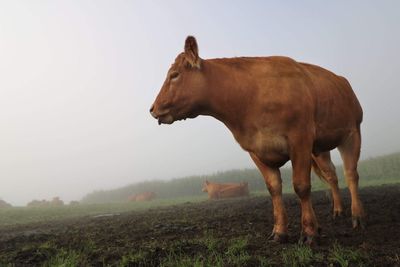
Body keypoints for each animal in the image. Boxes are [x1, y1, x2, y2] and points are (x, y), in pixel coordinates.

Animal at [150, 36, 366, 246]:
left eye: (174, 75)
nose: (152, 109)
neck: (251, 97)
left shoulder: (300, 139)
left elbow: (301, 186)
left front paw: (310, 232)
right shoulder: (256, 150)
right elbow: (274, 189)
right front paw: (279, 232)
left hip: (352, 134)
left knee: (351, 174)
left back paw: (357, 216)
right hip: (320, 148)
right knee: (332, 175)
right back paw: (338, 210)